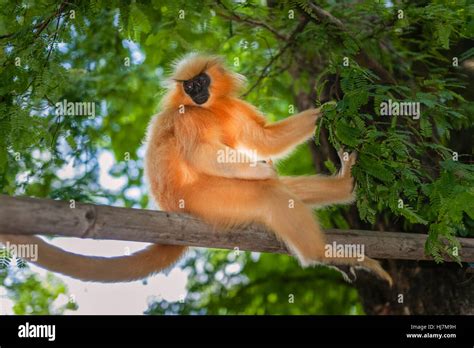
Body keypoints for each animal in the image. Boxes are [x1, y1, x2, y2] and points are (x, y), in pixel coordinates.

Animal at [0, 53, 392, 284]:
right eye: (189, 86)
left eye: (200, 82)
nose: (196, 92)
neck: (208, 108)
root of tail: (170, 206)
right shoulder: (188, 118)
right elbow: (204, 154)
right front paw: (263, 170)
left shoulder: (230, 107)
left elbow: (265, 140)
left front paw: (331, 107)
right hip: (206, 199)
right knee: (269, 193)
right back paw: (320, 253)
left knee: (289, 191)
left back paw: (343, 187)